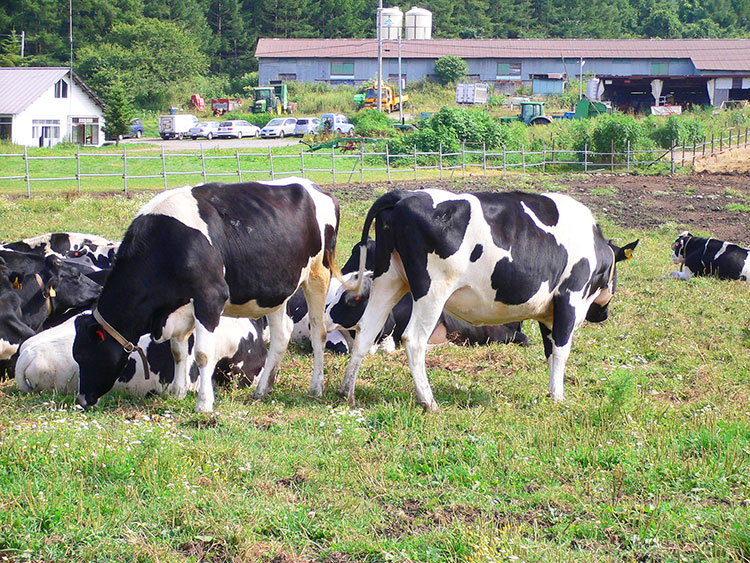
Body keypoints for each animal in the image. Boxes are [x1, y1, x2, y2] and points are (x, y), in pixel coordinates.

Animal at [74, 178, 340, 412]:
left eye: (86, 355)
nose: (82, 400)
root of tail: (315, 187)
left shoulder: (210, 297)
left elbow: (202, 354)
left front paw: (204, 404)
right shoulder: (179, 307)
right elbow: (178, 351)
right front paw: (178, 393)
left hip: (318, 274)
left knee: (319, 332)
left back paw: (316, 387)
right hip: (276, 288)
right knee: (282, 333)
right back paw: (263, 389)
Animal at [340, 189, 640, 410]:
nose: (603, 315)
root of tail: (404, 194)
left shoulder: (548, 311)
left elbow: (550, 350)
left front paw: (550, 392)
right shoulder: (569, 298)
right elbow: (561, 350)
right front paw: (558, 397)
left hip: (388, 279)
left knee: (366, 330)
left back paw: (347, 392)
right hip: (432, 290)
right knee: (413, 339)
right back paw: (428, 401)